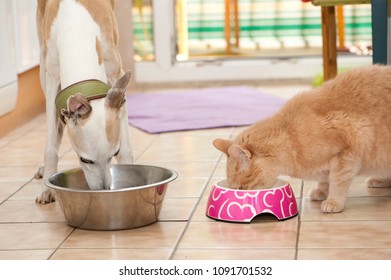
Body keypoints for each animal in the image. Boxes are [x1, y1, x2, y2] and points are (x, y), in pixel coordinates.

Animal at [37, 0, 135, 203]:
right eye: (85, 160)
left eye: (113, 154)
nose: (104, 190)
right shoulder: (52, 80)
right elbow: (50, 146)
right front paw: (46, 188)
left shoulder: (116, 74)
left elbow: (126, 147)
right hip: (42, 65)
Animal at [213, 64, 391, 213]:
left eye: (241, 187)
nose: (240, 196)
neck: (290, 135)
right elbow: (325, 180)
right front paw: (321, 192)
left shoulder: (347, 152)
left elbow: (337, 181)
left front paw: (333, 201)